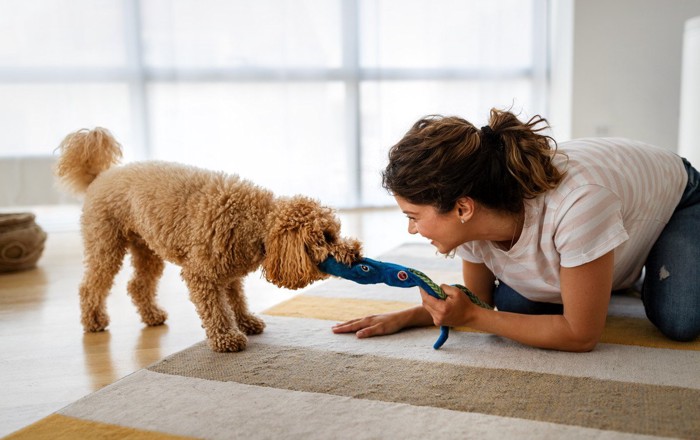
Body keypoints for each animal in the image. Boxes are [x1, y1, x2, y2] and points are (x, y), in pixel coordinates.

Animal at [54, 126, 360, 350]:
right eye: (326, 237)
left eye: (335, 232)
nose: (356, 252)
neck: (255, 220)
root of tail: (100, 177)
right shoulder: (202, 273)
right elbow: (215, 308)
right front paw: (227, 337)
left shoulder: (230, 271)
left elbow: (237, 299)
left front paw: (246, 321)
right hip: (105, 244)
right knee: (90, 286)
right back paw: (94, 321)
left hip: (147, 249)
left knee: (137, 285)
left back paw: (152, 316)